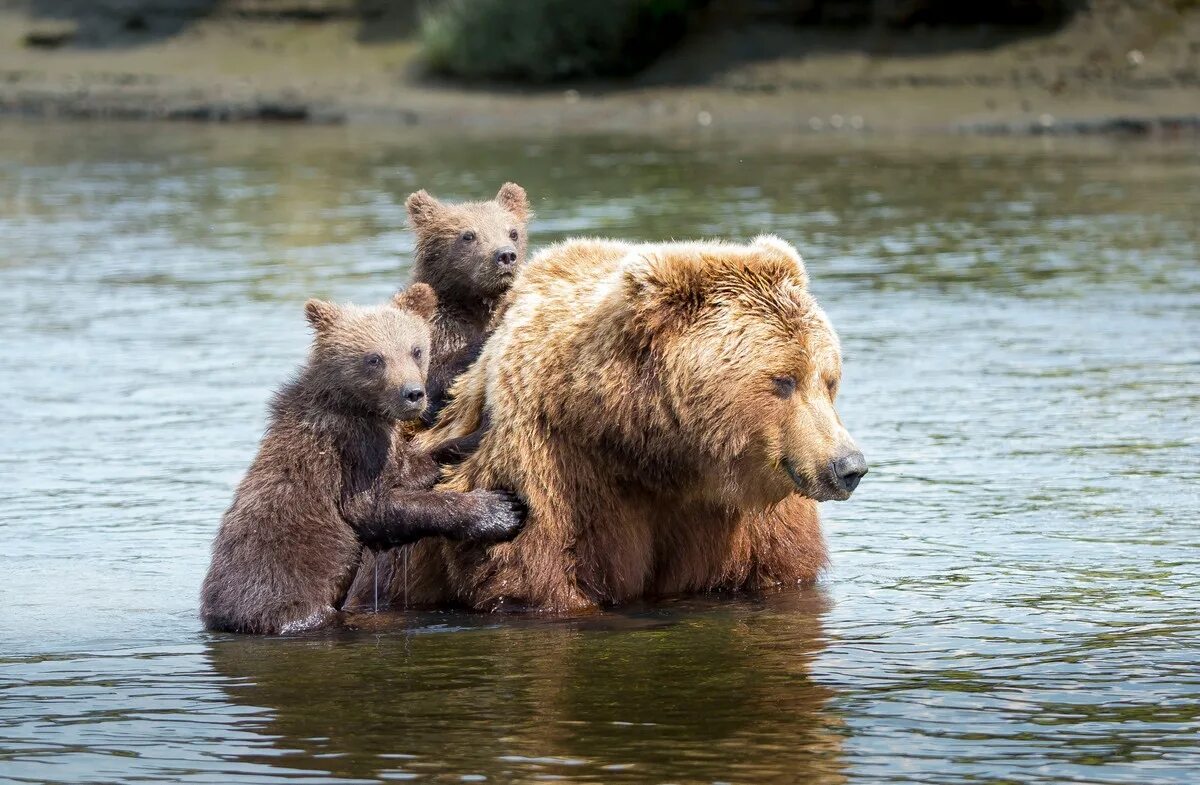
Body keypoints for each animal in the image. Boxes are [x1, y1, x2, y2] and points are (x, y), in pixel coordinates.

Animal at [388, 235, 868, 614]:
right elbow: (541, 579)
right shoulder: (555, 474)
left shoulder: (747, 516)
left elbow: (781, 573)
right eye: (784, 380)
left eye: (828, 379)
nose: (849, 466)